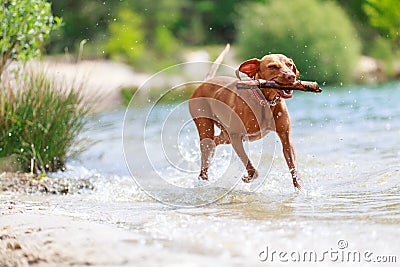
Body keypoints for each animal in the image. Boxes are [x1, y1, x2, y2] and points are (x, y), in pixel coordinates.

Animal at [189, 53, 302, 189]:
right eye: (272, 66)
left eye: (289, 64)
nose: (291, 76)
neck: (266, 102)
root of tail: (204, 83)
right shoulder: (236, 137)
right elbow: (250, 165)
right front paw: (248, 177)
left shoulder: (286, 138)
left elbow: (293, 167)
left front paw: (300, 189)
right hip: (206, 126)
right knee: (206, 149)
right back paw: (203, 179)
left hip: (225, 136)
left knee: (214, 142)